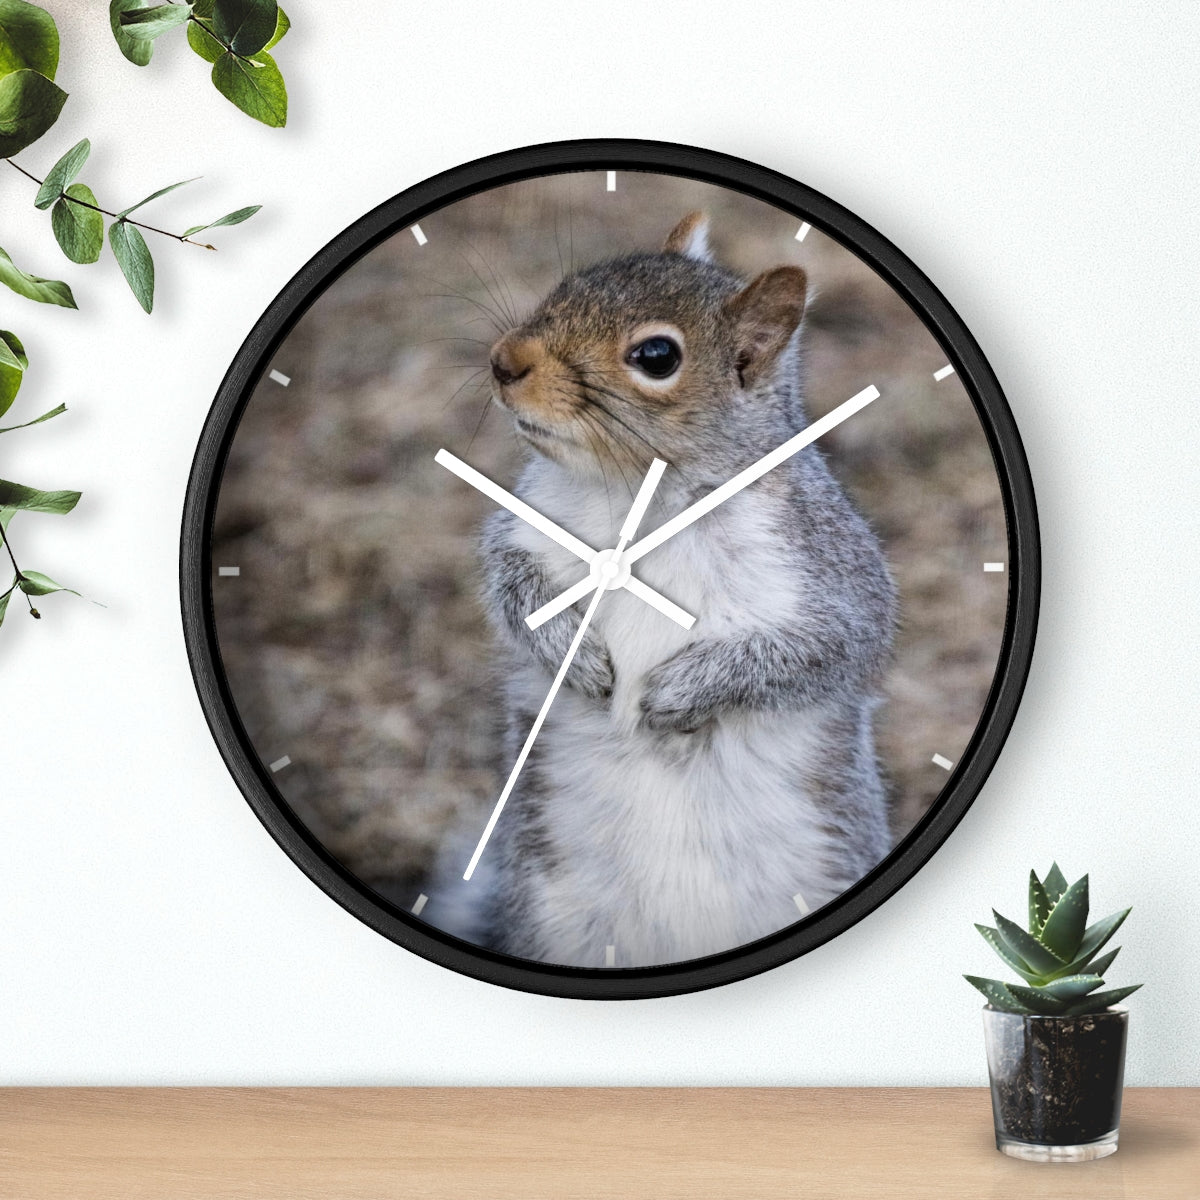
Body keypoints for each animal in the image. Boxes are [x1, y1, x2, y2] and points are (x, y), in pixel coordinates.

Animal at [440, 212, 897, 968]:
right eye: (568, 284)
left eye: (656, 356)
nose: (504, 362)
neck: (641, 494)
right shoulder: (527, 526)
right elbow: (509, 584)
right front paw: (574, 652)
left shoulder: (830, 572)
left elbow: (823, 650)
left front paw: (680, 691)